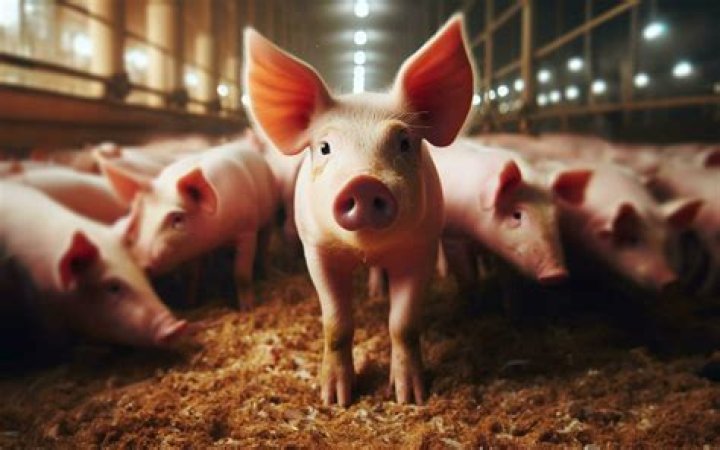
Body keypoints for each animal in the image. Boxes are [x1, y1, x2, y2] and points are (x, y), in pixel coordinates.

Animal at [101, 139, 280, 310]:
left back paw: (267, 275)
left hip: (269, 215)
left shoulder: (247, 230)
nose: (140, 261)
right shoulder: (194, 249)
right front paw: (190, 305)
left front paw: (247, 309)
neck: (214, 239)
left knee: (264, 246)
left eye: (178, 219)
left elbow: (241, 274)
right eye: (141, 214)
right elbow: (191, 276)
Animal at [244, 14, 475, 405]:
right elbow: (336, 323)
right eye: (324, 147)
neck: (366, 250)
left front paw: (409, 397)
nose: (365, 183)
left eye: (404, 142)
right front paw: (335, 399)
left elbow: (404, 324)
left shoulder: (422, 247)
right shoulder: (316, 249)